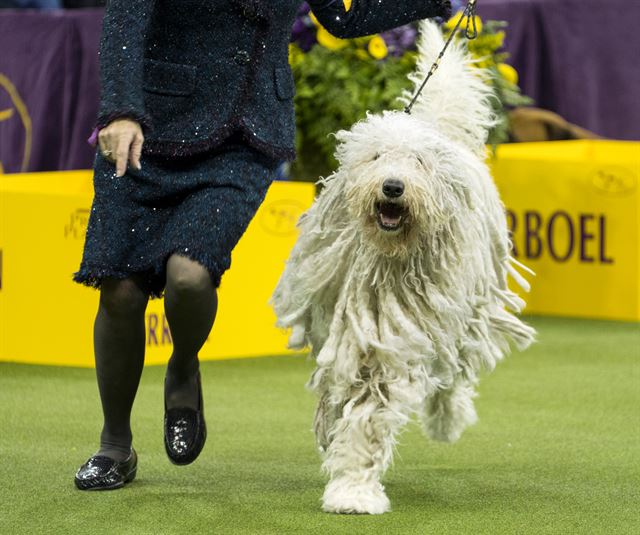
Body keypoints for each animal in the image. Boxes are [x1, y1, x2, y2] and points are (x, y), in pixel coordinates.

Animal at [270, 21, 536, 516]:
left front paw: (353, 489)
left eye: (419, 163)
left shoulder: (397, 339)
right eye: (376, 157)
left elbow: (370, 414)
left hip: (467, 312)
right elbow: (340, 395)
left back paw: (447, 420)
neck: (391, 259)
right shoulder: (350, 334)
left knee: (454, 374)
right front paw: (338, 451)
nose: (393, 187)